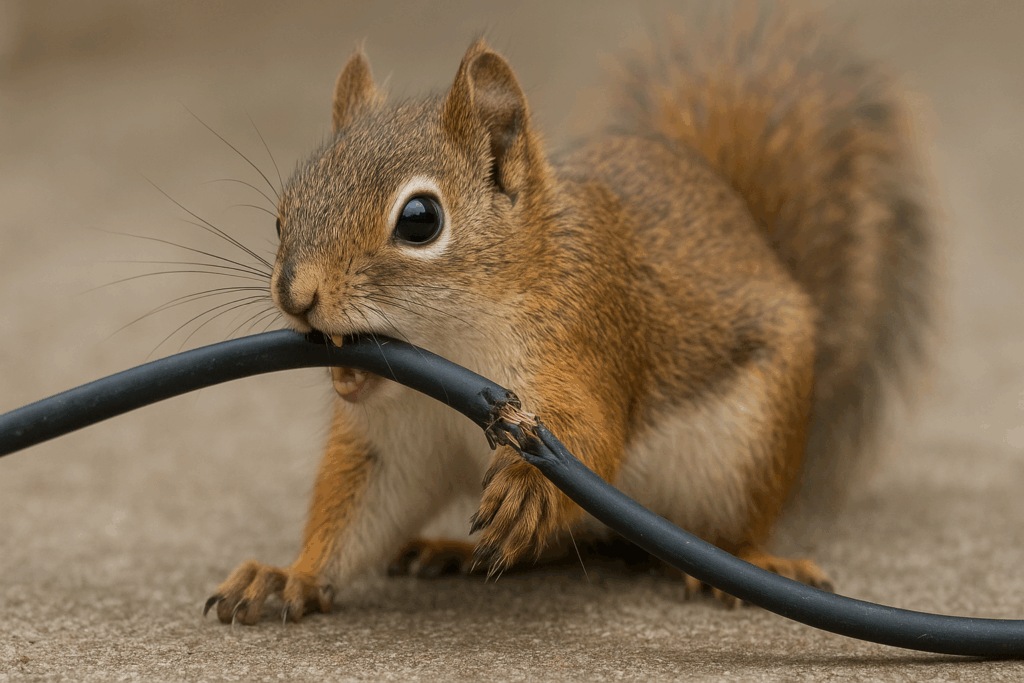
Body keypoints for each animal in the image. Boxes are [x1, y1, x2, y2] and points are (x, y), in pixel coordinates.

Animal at [204, 4, 931, 624]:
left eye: (420, 220)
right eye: (282, 216)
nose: (295, 296)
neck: (452, 339)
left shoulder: (584, 334)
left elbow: (595, 435)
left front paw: (529, 484)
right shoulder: (392, 438)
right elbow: (352, 515)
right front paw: (289, 575)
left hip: (748, 450)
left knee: (727, 533)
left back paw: (742, 565)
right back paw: (454, 551)